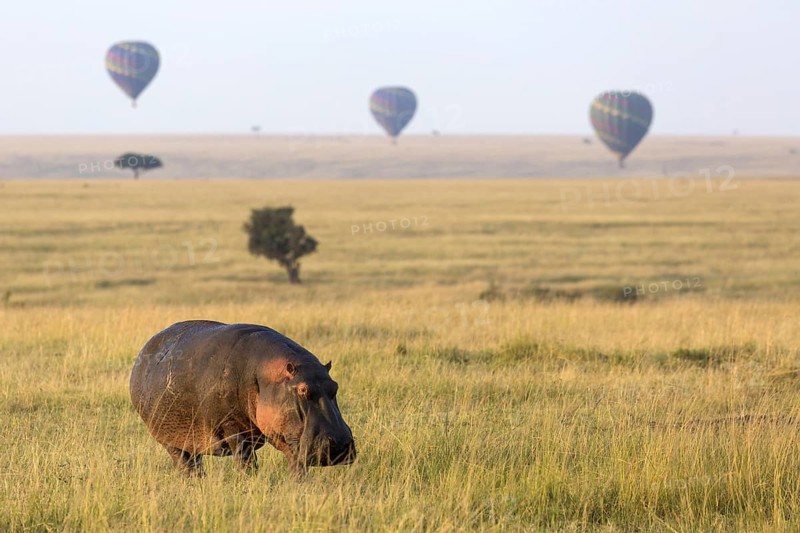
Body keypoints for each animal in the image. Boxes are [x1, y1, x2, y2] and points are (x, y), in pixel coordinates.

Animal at [130, 320, 356, 476]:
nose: (340, 444)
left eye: (335, 386)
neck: (264, 375)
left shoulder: (286, 434)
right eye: (302, 390)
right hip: (169, 439)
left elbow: (296, 462)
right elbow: (246, 461)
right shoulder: (233, 429)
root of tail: (142, 353)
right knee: (186, 464)